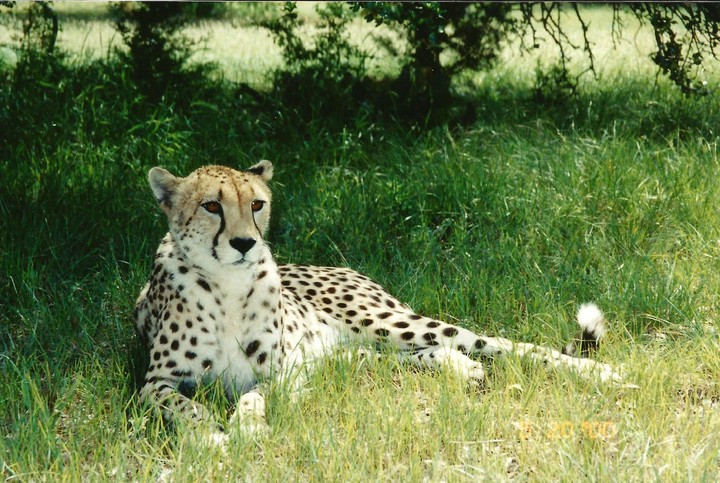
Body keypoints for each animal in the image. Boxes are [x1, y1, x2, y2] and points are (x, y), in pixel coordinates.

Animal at [134, 161, 622, 439]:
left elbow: (254, 395)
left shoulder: (285, 371)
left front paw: (246, 426)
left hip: (383, 322)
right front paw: (211, 435)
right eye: (211, 206)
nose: (244, 244)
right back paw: (459, 367)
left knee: (501, 344)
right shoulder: (153, 384)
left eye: (256, 204)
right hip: (348, 352)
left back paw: (601, 373)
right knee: (396, 359)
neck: (227, 286)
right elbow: (182, 405)